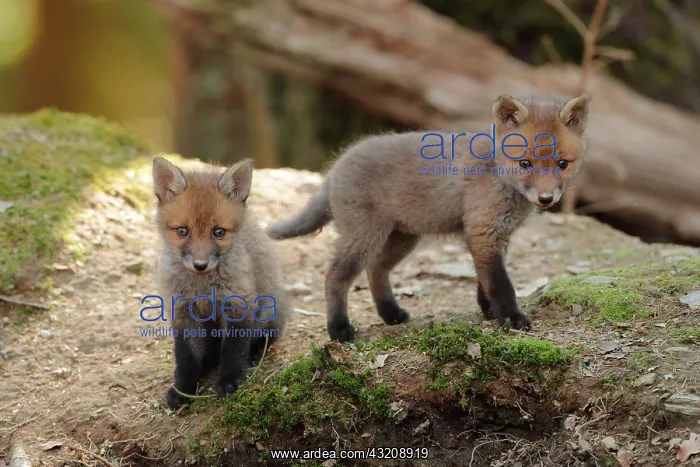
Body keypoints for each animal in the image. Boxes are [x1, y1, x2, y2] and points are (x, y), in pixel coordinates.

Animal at [152, 156, 289, 409]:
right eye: (182, 231)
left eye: (219, 232)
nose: (200, 264)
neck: (203, 289)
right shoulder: (182, 310)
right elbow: (186, 357)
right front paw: (183, 389)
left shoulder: (238, 303)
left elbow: (234, 350)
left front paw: (231, 381)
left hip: (268, 310)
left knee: (267, 337)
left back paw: (255, 353)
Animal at [265, 94, 591, 343]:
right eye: (525, 163)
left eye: (562, 164)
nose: (546, 199)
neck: (498, 174)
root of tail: (335, 167)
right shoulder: (483, 233)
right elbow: (501, 284)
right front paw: (511, 318)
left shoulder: (494, 237)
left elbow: (484, 280)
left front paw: (488, 311)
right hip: (363, 238)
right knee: (335, 278)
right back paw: (339, 329)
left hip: (402, 239)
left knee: (375, 271)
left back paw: (391, 314)